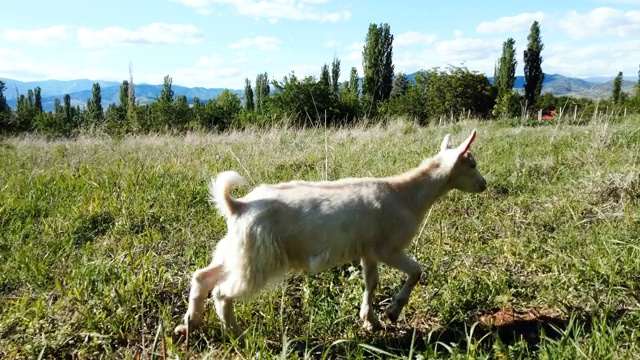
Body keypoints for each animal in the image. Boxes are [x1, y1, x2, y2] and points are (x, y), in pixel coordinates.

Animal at [174, 129, 484, 338]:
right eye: (472, 164)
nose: (484, 184)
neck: (406, 194)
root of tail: (238, 205)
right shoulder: (387, 247)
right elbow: (416, 270)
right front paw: (393, 312)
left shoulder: (367, 250)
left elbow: (371, 283)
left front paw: (370, 320)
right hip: (258, 259)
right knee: (222, 292)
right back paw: (236, 333)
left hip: (238, 251)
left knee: (202, 276)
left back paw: (189, 324)